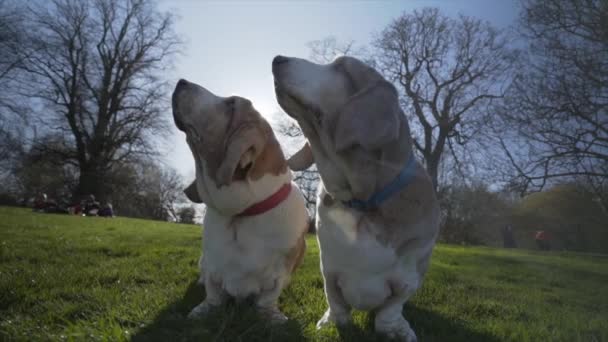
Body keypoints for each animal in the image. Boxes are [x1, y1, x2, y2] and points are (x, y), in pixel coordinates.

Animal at [172, 79, 308, 322]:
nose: (181, 82)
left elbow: (267, 299)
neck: (242, 213)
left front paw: (271, 317)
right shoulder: (212, 266)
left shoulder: (278, 275)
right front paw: (202, 311)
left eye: (231, 104)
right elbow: (213, 295)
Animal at [274, 55, 440, 340]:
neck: (362, 202)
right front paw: (332, 323)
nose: (277, 59)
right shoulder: (329, 270)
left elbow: (391, 310)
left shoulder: (409, 276)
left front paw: (395, 330)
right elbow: (335, 301)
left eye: (341, 67)